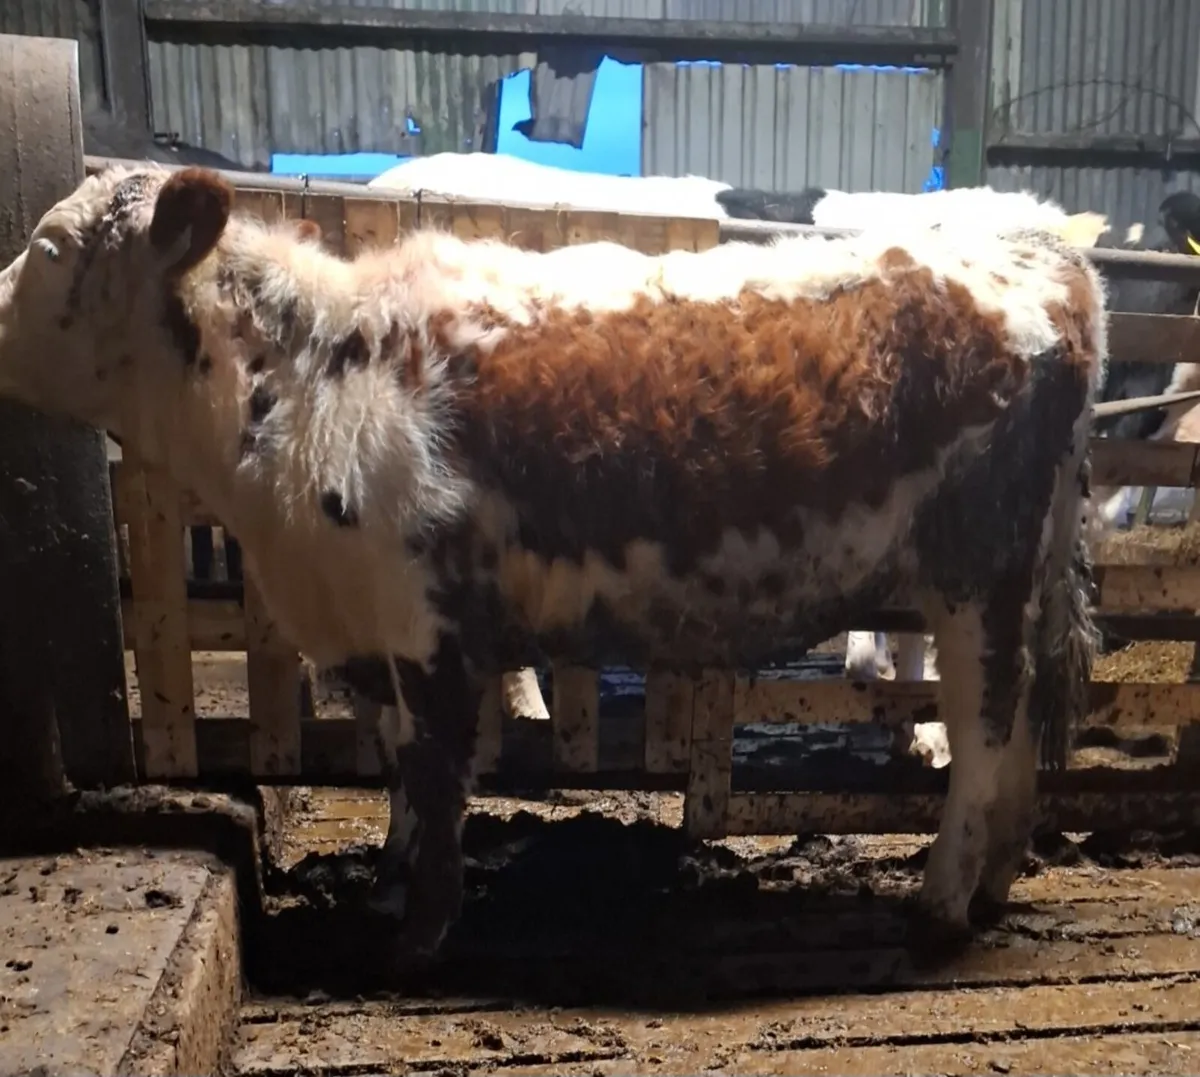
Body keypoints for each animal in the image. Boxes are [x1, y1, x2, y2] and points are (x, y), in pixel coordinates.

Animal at [0, 164, 1106, 961]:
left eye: (47, 248)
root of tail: (1039, 248)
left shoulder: (429, 624)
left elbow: (440, 773)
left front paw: (422, 932)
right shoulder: (368, 625)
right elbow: (397, 770)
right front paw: (387, 888)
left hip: (978, 575)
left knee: (984, 729)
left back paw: (940, 903)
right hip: (1015, 579)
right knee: (1014, 732)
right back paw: (994, 883)